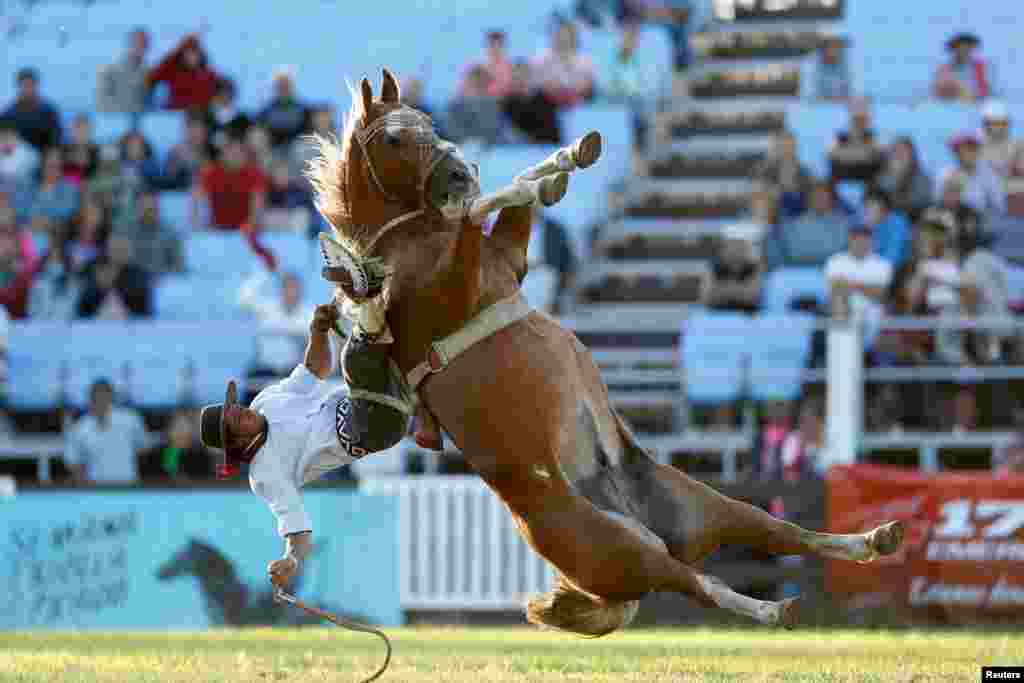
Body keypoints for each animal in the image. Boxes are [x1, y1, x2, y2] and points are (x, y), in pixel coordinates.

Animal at [311, 69, 905, 636]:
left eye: (427, 121)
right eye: (393, 136)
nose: (458, 173)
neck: (407, 242)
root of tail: (630, 517)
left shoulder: (506, 263)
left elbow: (508, 205)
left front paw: (564, 162)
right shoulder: (450, 290)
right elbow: (477, 214)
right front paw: (524, 181)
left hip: (705, 509)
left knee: (776, 532)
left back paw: (871, 540)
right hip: (626, 552)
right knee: (699, 582)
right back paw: (773, 608)